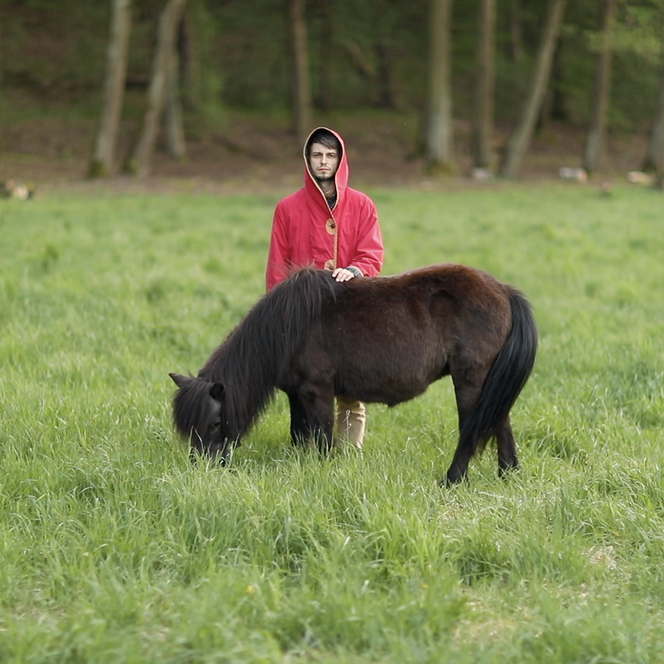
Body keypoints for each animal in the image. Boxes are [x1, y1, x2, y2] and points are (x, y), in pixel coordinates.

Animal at [169, 262, 536, 486]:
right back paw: (508, 475)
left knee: (474, 427)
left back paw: (453, 479)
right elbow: (299, 432)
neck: (286, 328)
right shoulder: (297, 394)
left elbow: (323, 436)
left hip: (471, 381)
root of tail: (503, 290)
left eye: (214, 423)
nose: (201, 468)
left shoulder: (316, 390)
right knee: (501, 423)